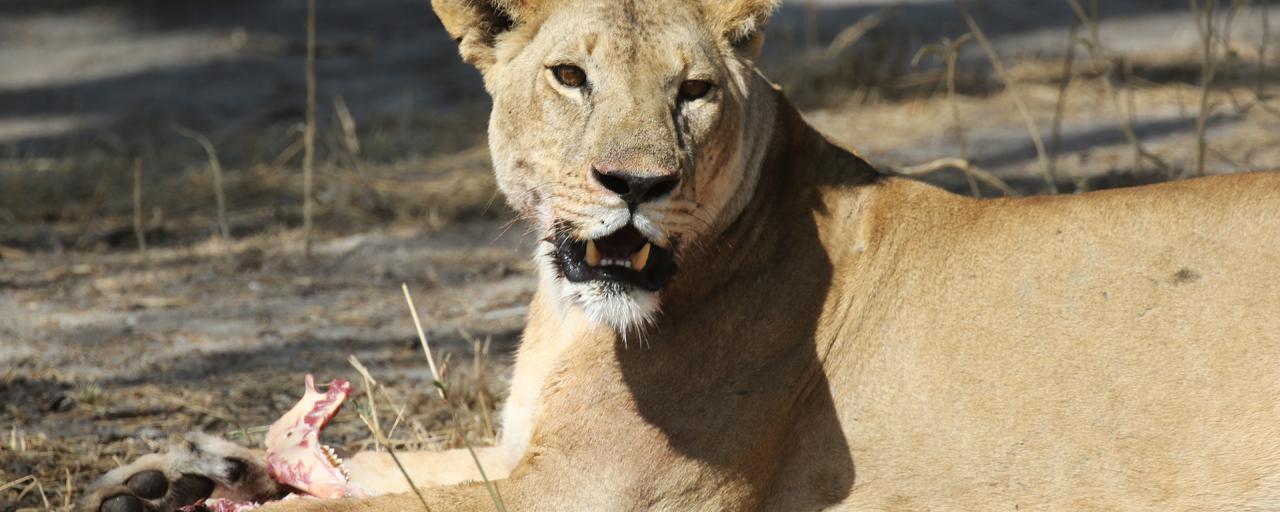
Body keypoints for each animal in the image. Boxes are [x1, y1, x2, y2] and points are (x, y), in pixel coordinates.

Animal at [82, 1, 1280, 512]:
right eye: (569, 76)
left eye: (693, 90)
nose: (635, 184)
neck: (571, 314)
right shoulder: (524, 455)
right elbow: (382, 465)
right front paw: (176, 473)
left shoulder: (591, 496)